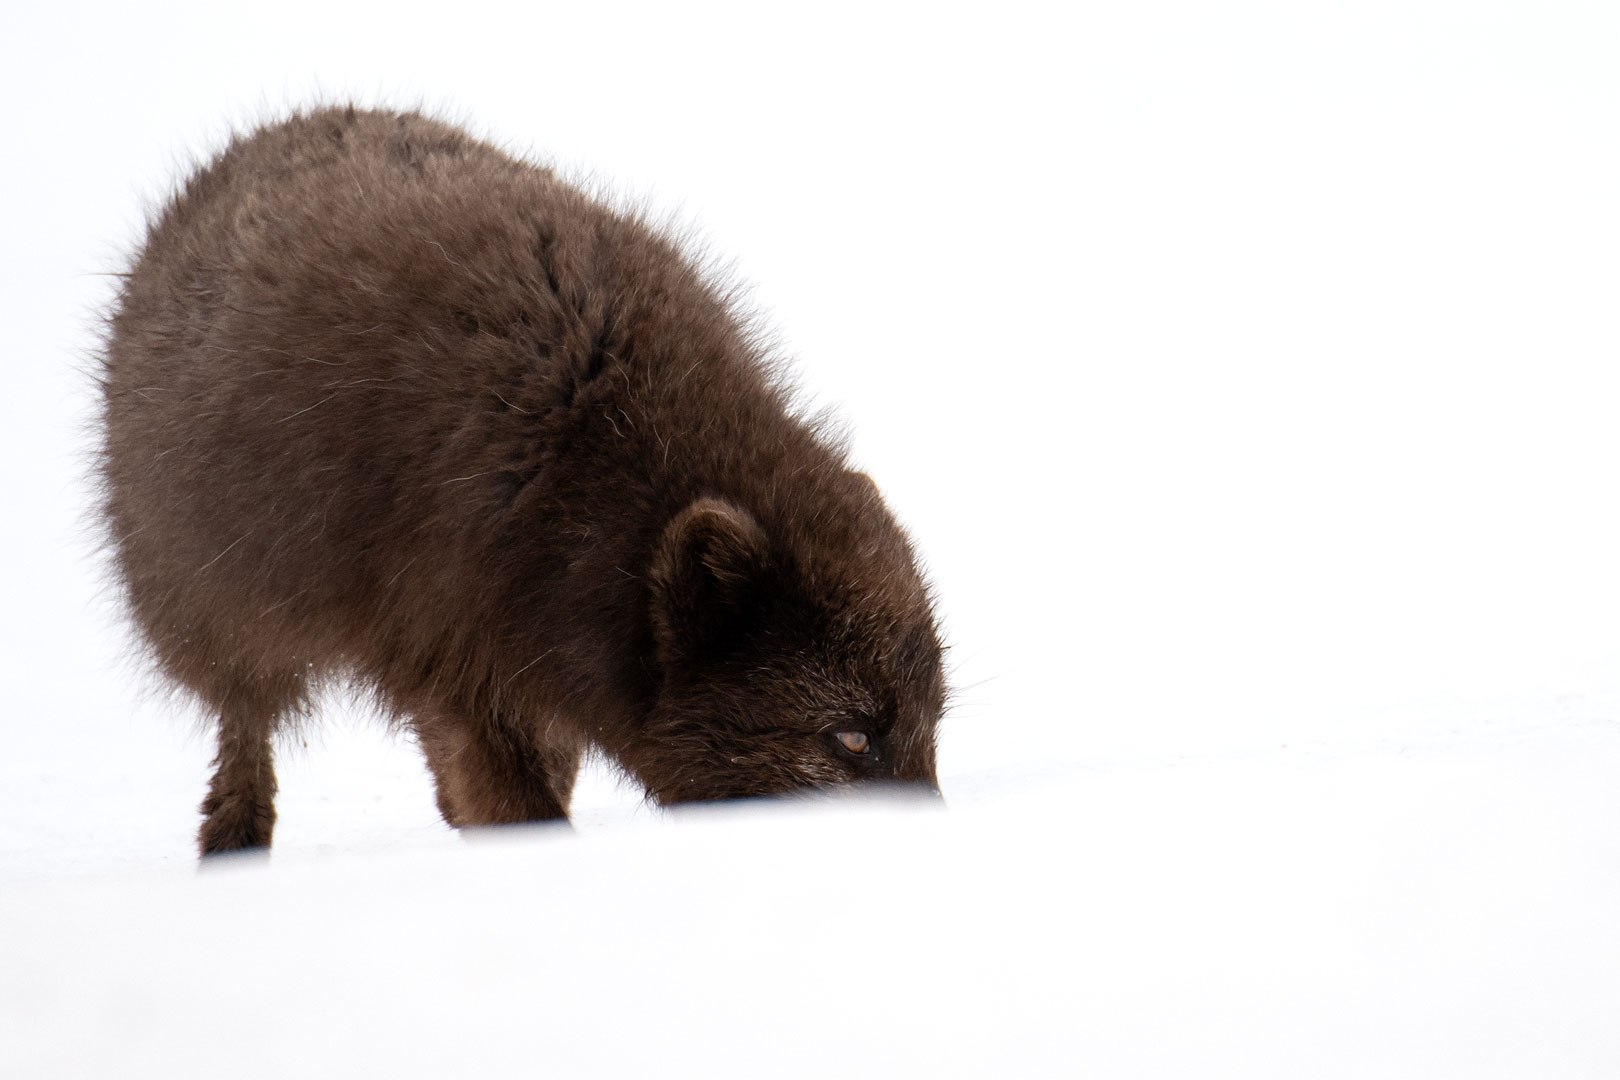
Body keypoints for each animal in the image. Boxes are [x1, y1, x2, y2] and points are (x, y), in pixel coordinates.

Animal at [101, 107, 946, 854]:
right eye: (850, 737)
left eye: (933, 720)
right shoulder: (449, 648)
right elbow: (516, 798)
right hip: (212, 610)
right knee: (243, 720)